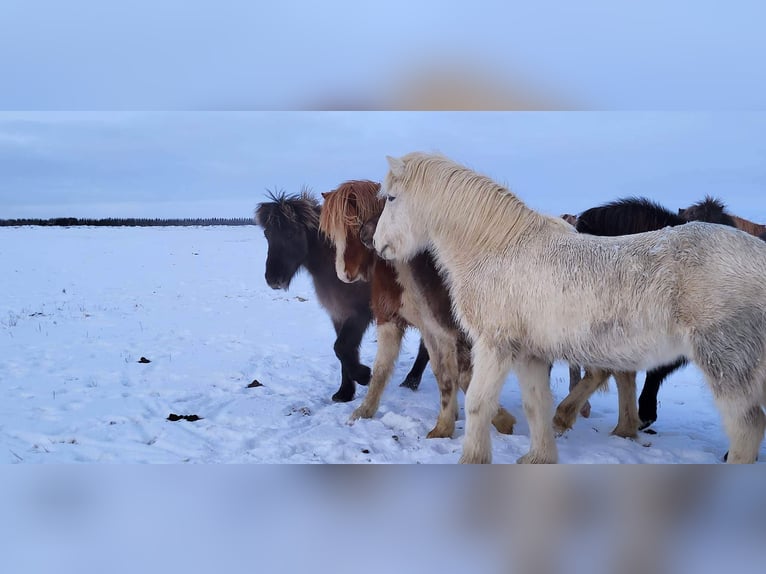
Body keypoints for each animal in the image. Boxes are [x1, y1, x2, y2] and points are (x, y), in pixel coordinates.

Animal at [255, 191, 428, 402]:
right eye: (267, 234)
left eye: (291, 233)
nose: (273, 279)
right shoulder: (339, 314)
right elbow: (344, 351)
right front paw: (345, 392)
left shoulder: (360, 313)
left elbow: (341, 347)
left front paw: (364, 375)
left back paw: (411, 381)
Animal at [318, 182, 516, 438]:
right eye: (333, 233)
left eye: (352, 224)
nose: (344, 274)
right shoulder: (402, 323)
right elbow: (388, 370)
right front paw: (364, 411)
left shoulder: (455, 333)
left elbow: (464, 377)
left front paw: (501, 421)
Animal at [374, 155, 766, 466]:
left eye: (391, 198)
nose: (377, 244)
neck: (498, 249)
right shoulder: (528, 353)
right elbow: (536, 405)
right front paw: (539, 457)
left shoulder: (494, 346)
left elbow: (478, 405)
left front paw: (473, 459)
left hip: (727, 365)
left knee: (747, 430)